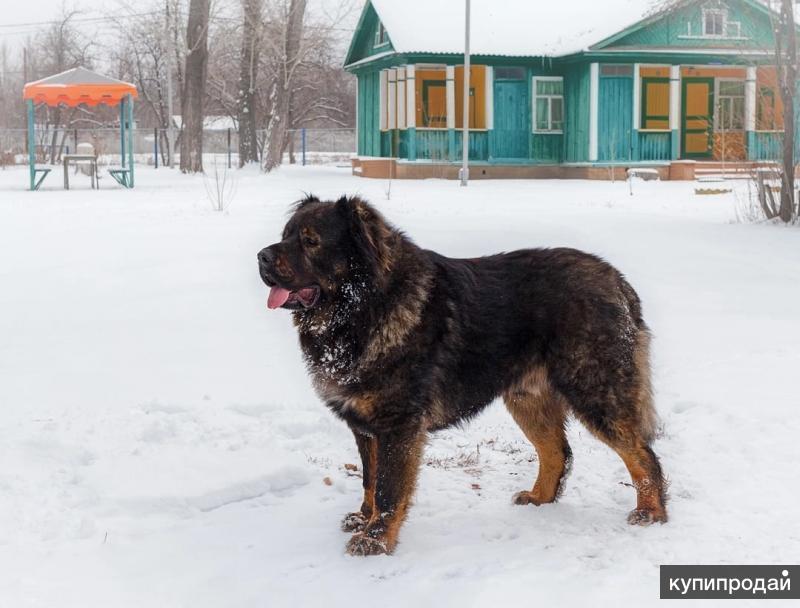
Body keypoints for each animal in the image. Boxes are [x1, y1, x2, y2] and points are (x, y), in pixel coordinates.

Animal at [258, 195, 668, 556]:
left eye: (310, 241)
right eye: (285, 234)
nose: (261, 256)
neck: (365, 307)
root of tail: (617, 281)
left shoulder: (398, 424)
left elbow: (389, 489)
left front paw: (376, 540)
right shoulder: (366, 427)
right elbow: (370, 481)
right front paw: (364, 519)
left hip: (596, 391)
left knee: (642, 454)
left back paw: (651, 513)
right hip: (527, 399)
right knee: (558, 452)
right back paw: (539, 498)